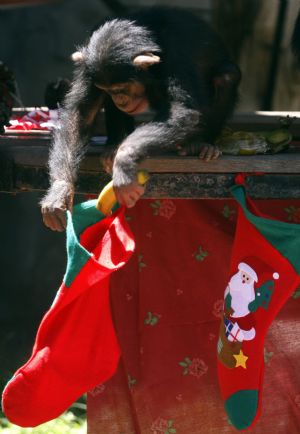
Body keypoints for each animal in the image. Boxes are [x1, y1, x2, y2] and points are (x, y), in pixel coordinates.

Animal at [40, 5, 241, 231]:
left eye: (122, 87)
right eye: (108, 89)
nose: (118, 97)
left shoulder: (178, 51)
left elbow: (182, 109)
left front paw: (124, 160)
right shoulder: (90, 66)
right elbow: (80, 115)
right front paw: (60, 192)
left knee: (226, 75)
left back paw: (201, 144)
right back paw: (114, 144)